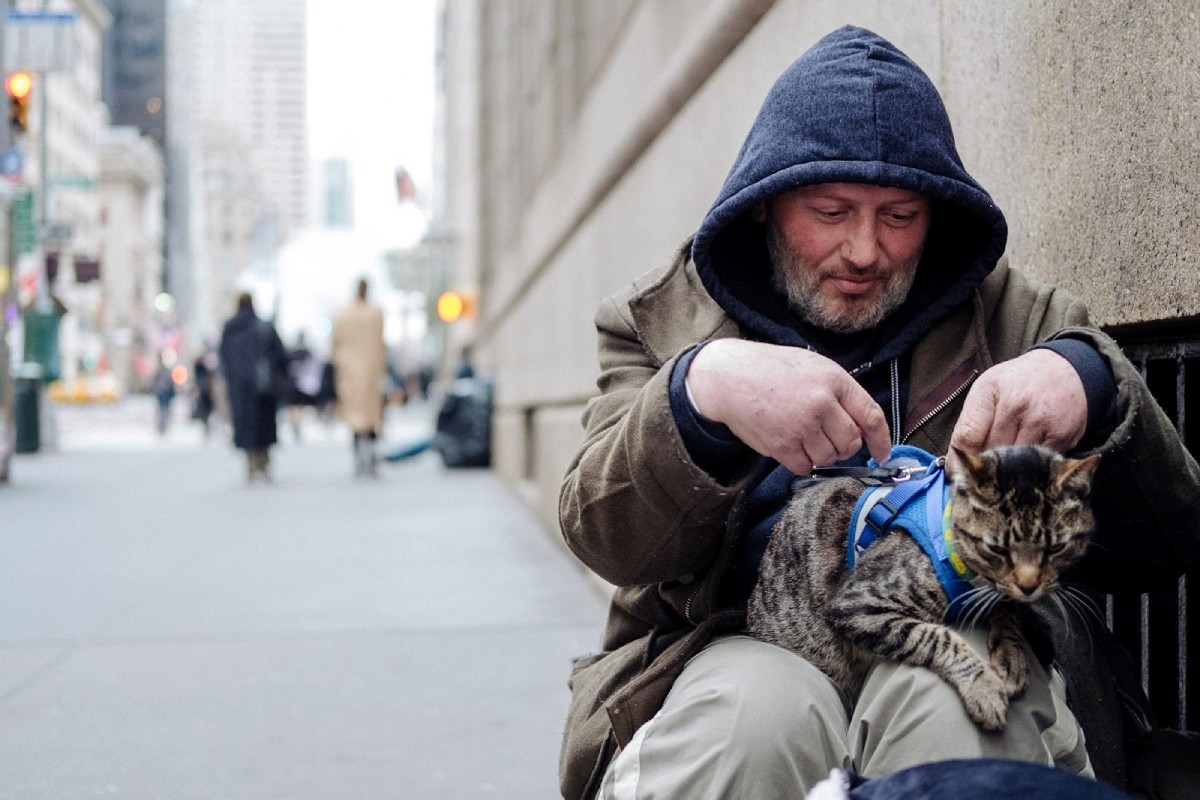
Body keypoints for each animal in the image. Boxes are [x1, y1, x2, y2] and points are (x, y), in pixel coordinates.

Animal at [744, 443, 1099, 734]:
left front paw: (1011, 654)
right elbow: (936, 637)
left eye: (1058, 547)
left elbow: (1004, 608)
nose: (1029, 586)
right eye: (995, 548)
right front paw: (983, 685)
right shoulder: (856, 603)